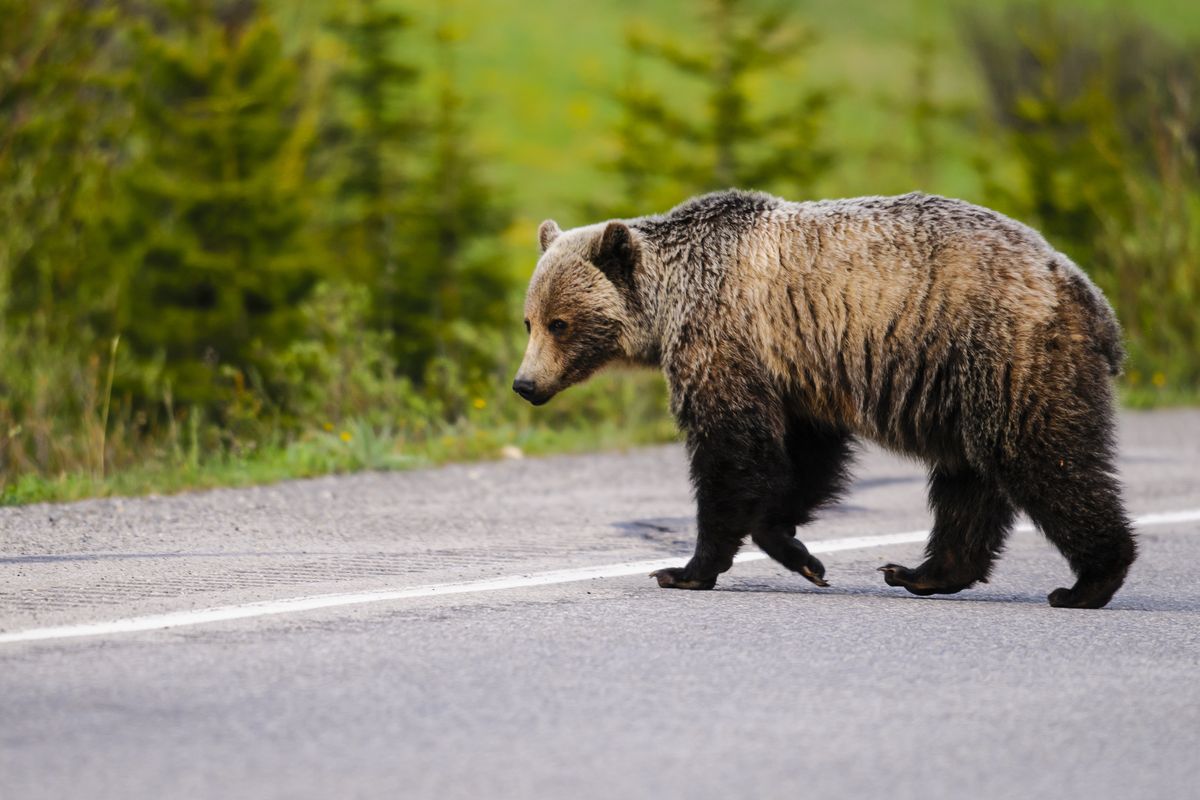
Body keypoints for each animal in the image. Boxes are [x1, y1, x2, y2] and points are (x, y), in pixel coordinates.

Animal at [513, 190, 1136, 609]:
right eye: (529, 320)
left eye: (560, 322)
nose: (525, 384)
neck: (671, 302)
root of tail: (1086, 291)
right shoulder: (794, 371)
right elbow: (803, 459)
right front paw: (799, 552)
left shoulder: (724, 339)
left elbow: (732, 453)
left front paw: (686, 568)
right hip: (963, 384)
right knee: (969, 480)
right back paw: (920, 572)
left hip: (1001, 350)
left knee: (1044, 456)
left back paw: (1088, 580)